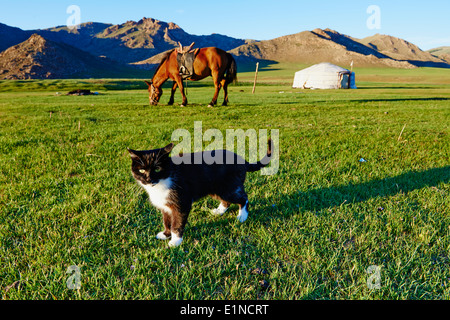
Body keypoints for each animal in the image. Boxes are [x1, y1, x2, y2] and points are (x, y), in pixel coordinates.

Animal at [128, 140, 272, 248]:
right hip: (216, 188)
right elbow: (167, 220)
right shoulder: (165, 205)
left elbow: (177, 223)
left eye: (157, 169)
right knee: (226, 200)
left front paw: (175, 241)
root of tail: (241, 159)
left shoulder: (181, 202)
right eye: (141, 170)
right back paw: (219, 211)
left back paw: (242, 216)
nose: (148, 179)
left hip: (228, 187)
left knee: (243, 198)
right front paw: (166, 234)